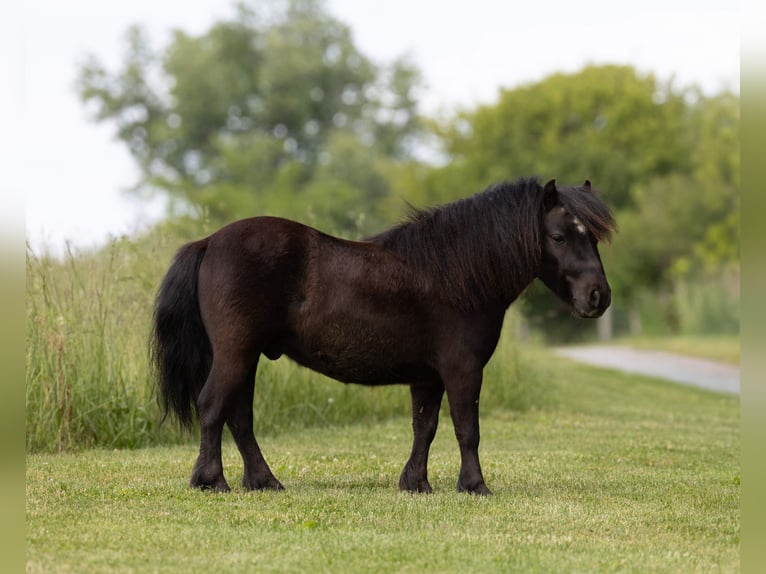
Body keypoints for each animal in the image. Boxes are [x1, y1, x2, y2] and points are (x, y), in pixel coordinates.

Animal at [150, 176, 616, 495]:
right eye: (558, 236)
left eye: (593, 237)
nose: (598, 296)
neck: (455, 275)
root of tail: (210, 242)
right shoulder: (462, 370)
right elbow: (467, 428)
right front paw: (475, 485)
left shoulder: (428, 377)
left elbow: (425, 427)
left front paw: (416, 484)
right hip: (236, 353)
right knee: (213, 406)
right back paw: (211, 481)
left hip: (246, 358)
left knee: (240, 417)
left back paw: (264, 481)